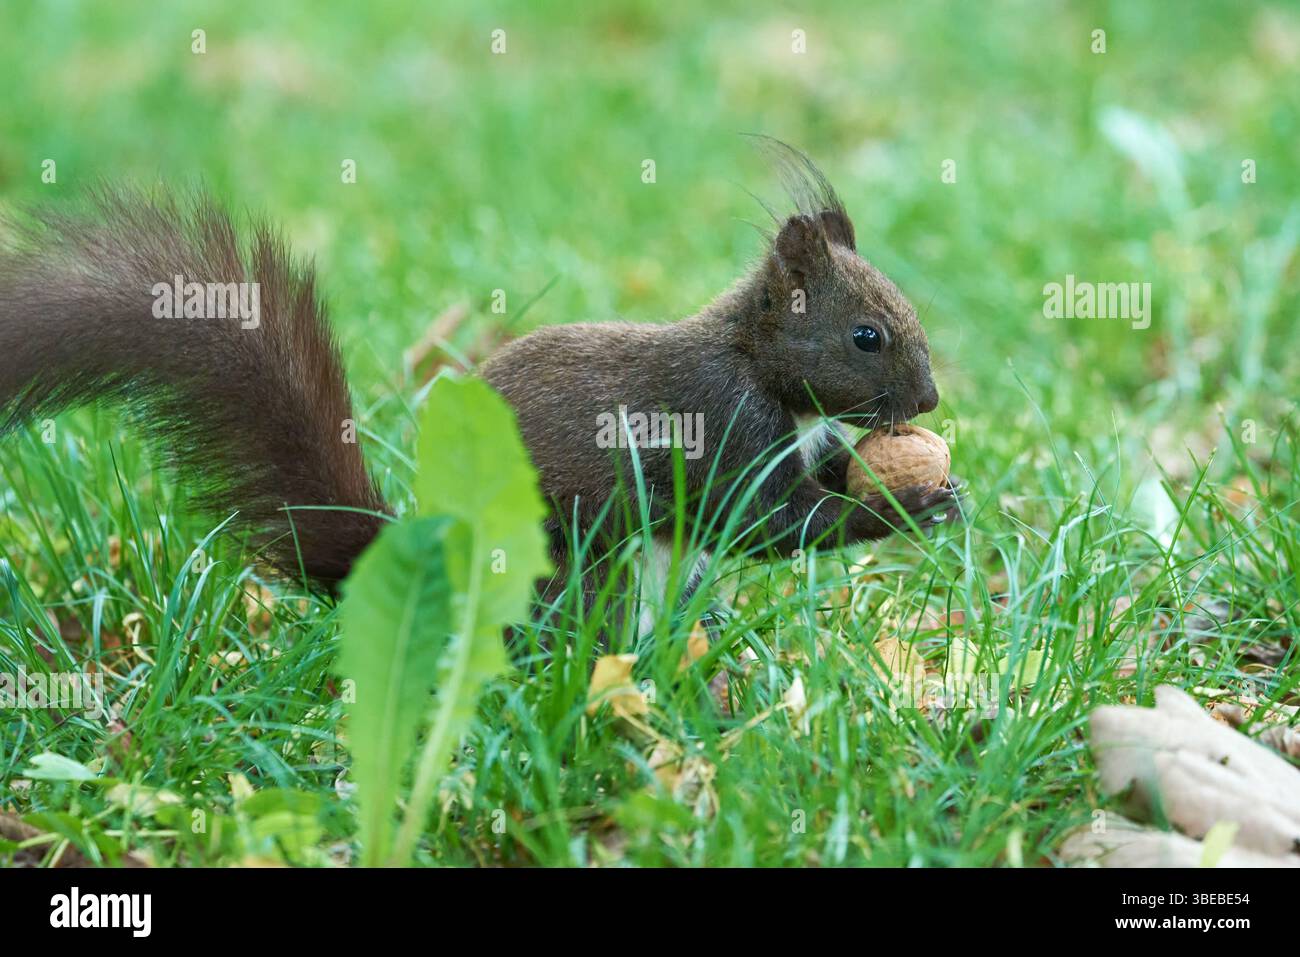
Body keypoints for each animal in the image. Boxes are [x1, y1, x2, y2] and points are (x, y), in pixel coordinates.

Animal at [0, 144, 956, 611]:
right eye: (866, 336)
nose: (930, 401)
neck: (757, 363)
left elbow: (824, 479)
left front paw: (934, 484)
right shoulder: (721, 428)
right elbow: (766, 522)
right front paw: (908, 507)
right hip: (569, 556)